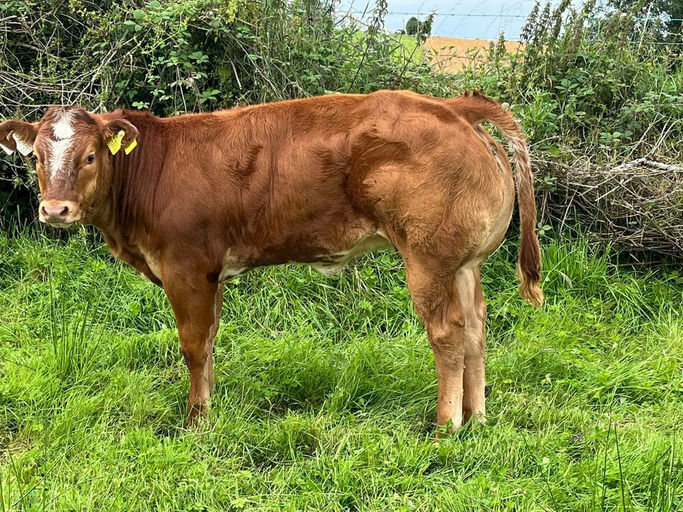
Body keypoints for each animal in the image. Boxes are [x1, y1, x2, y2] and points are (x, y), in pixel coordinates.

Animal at [0, 90, 543, 432]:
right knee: (475, 328)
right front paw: (209, 409)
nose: (55, 209)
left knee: (447, 332)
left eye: (90, 156)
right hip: (464, 262)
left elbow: (193, 345)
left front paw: (196, 421)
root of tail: (451, 105)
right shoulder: (211, 273)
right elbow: (210, 342)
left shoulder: (185, 267)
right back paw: (477, 417)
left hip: (427, 259)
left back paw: (446, 426)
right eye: (36, 158)